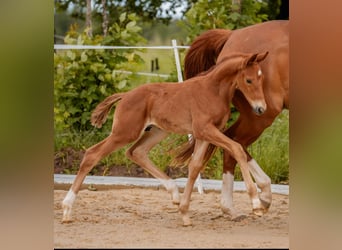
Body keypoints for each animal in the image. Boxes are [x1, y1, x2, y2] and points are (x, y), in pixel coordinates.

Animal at [62, 51, 270, 227]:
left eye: (262, 78)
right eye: (249, 80)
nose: (261, 109)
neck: (212, 91)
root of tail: (125, 95)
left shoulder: (204, 135)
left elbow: (194, 167)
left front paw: (184, 212)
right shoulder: (205, 130)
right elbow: (236, 148)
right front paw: (256, 204)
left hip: (156, 131)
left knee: (136, 152)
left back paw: (174, 193)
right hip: (125, 132)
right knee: (92, 154)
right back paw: (67, 209)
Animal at [176, 20, 288, 219]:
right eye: (249, 80)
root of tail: (232, 35)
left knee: (233, 143)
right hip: (259, 116)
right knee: (235, 142)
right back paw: (253, 199)